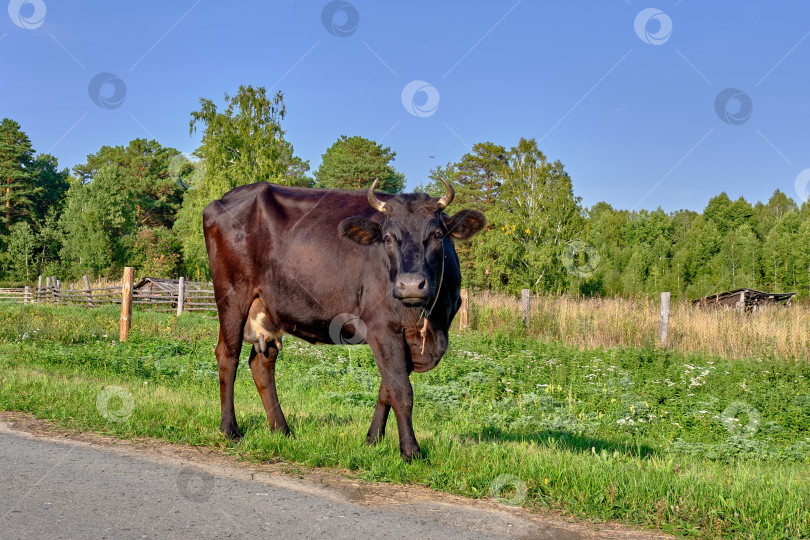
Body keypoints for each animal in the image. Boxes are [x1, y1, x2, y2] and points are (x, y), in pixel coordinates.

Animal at [202, 179, 482, 458]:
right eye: (387, 238)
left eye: (437, 235)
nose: (411, 285)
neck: (430, 321)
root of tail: (229, 196)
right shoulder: (383, 329)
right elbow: (401, 392)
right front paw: (411, 452)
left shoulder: (410, 339)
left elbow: (386, 389)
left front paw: (373, 440)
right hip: (231, 296)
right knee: (228, 356)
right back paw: (230, 429)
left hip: (268, 311)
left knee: (262, 364)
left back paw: (282, 430)